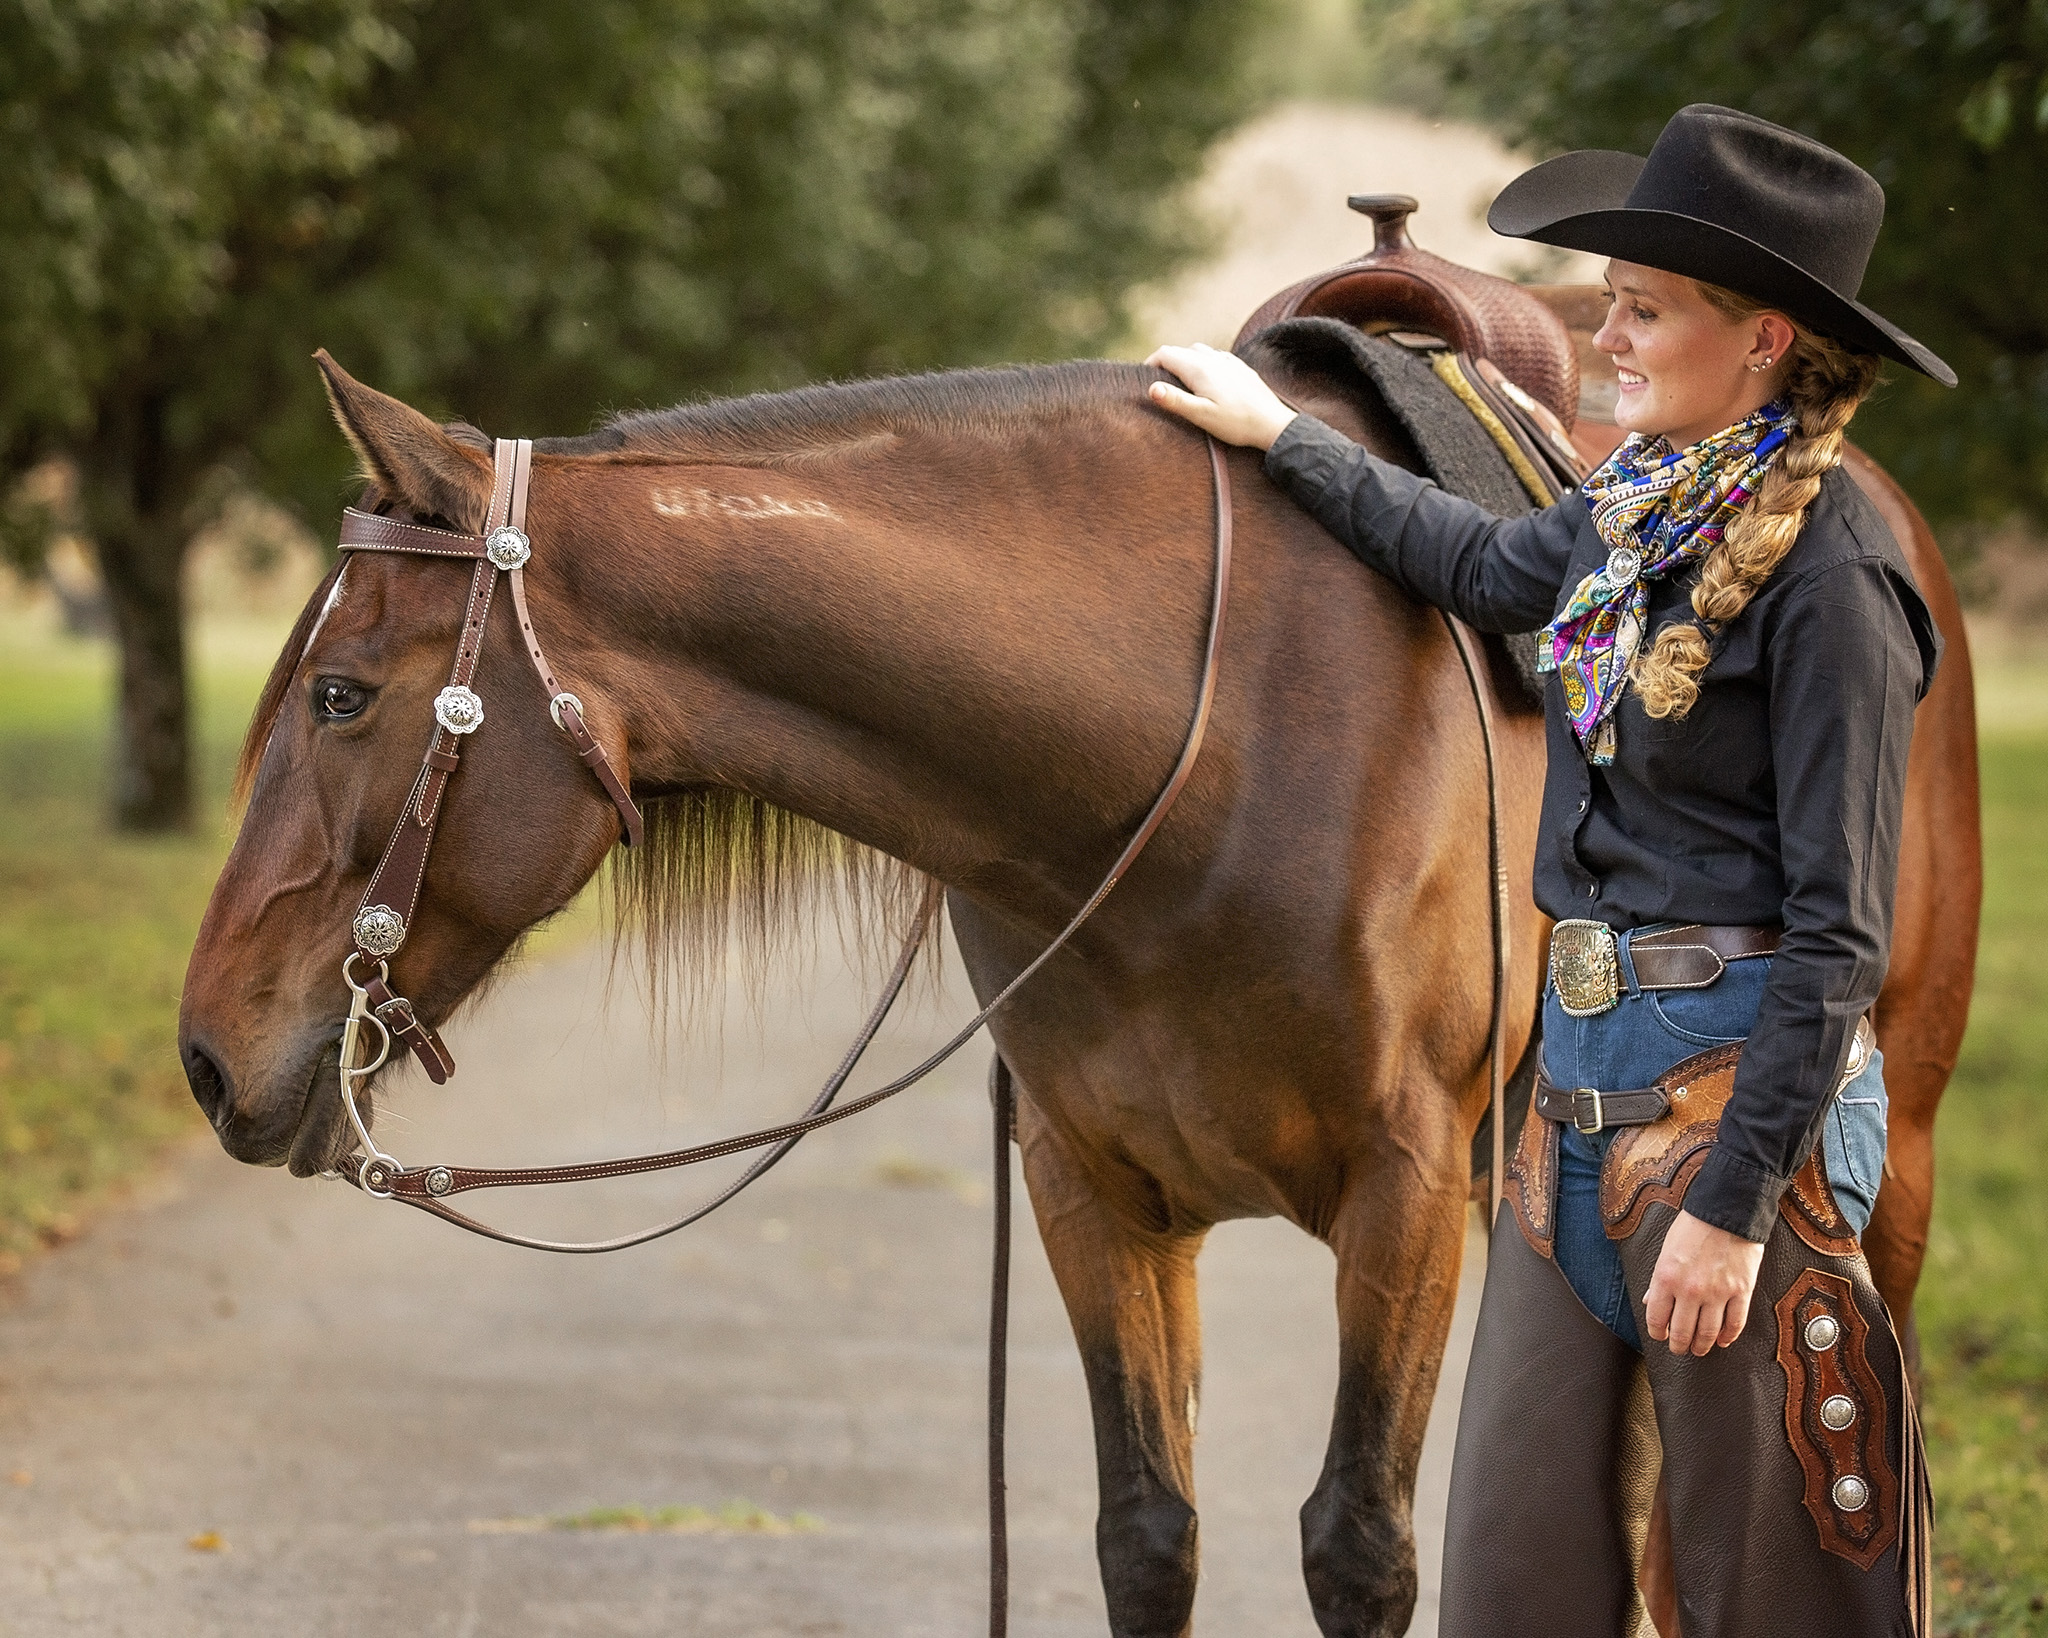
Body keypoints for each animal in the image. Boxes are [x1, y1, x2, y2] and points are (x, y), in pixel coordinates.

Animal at [184, 331, 1974, 1637]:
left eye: (341, 692)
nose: (208, 1054)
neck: (1208, 739)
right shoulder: (1092, 1189)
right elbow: (1147, 1533)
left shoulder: (1408, 1197)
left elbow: (1359, 1544)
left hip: (1865, 1168)